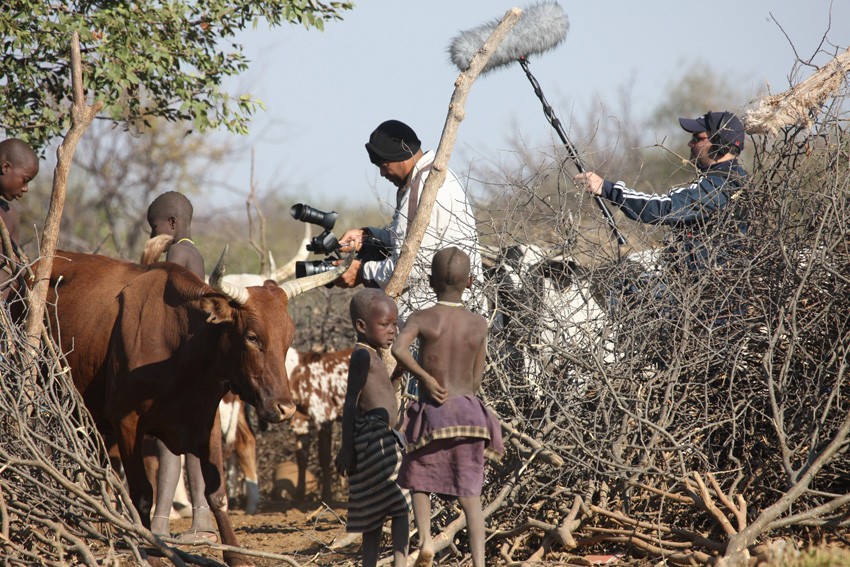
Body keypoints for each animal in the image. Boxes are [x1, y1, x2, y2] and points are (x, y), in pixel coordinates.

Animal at [33, 250, 344, 567]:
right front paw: (151, 550)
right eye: (252, 337)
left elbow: (217, 493)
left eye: (289, 337)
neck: (181, 346)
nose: (285, 408)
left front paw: (235, 554)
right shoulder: (126, 423)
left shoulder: (207, 422)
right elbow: (142, 494)